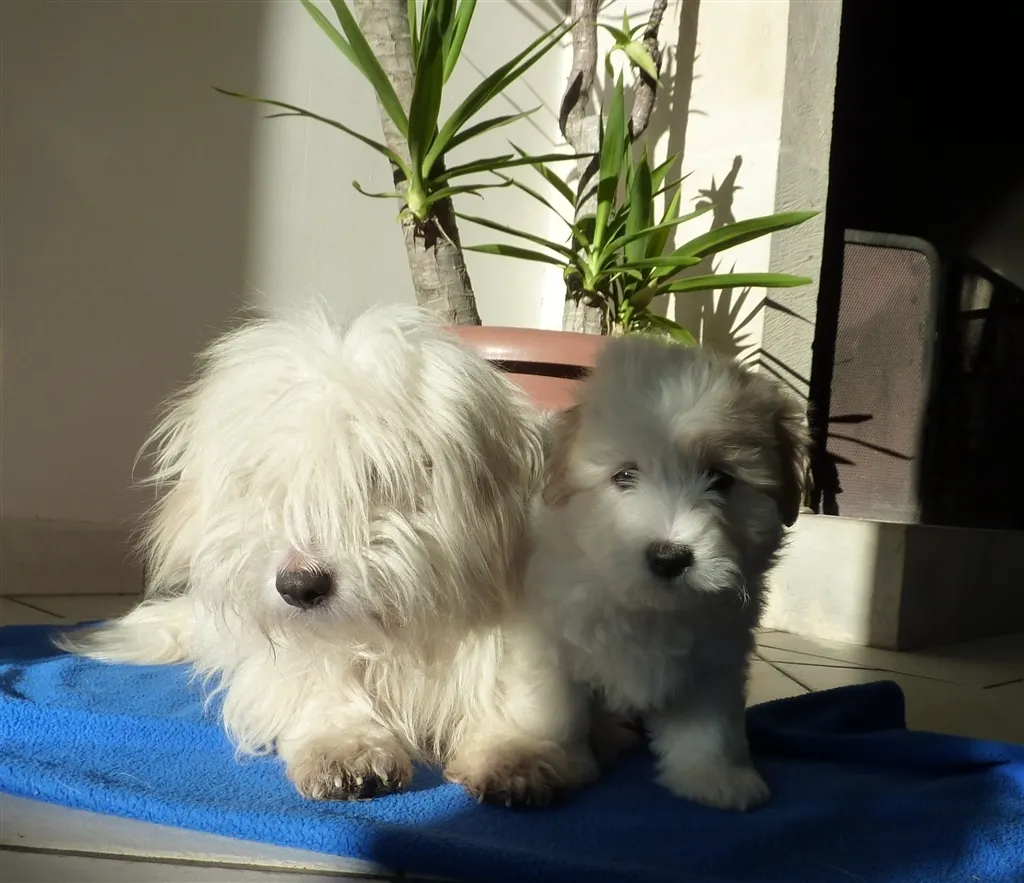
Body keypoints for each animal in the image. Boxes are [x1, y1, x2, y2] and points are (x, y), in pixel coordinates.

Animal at [57, 304, 598, 806]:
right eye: (267, 483)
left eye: (376, 478)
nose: (300, 587)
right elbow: (320, 680)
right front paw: (344, 747)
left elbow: (521, 687)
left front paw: (516, 753)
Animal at [526, 334, 809, 811]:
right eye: (624, 476)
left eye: (720, 477)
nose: (669, 557)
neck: (648, 608)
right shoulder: (548, 642)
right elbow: (555, 709)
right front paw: (546, 761)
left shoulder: (716, 659)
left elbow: (710, 724)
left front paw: (714, 776)